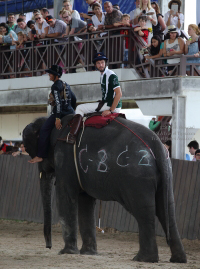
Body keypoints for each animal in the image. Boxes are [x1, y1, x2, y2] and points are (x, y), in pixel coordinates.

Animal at [22, 114, 187, 262]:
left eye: (32, 152)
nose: (48, 247)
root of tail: (157, 145)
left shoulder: (65, 156)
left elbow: (65, 195)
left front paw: (66, 252)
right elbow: (86, 202)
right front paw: (88, 253)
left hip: (137, 176)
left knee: (144, 211)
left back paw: (144, 259)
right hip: (165, 174)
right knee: (167, 211)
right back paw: (177, 259)